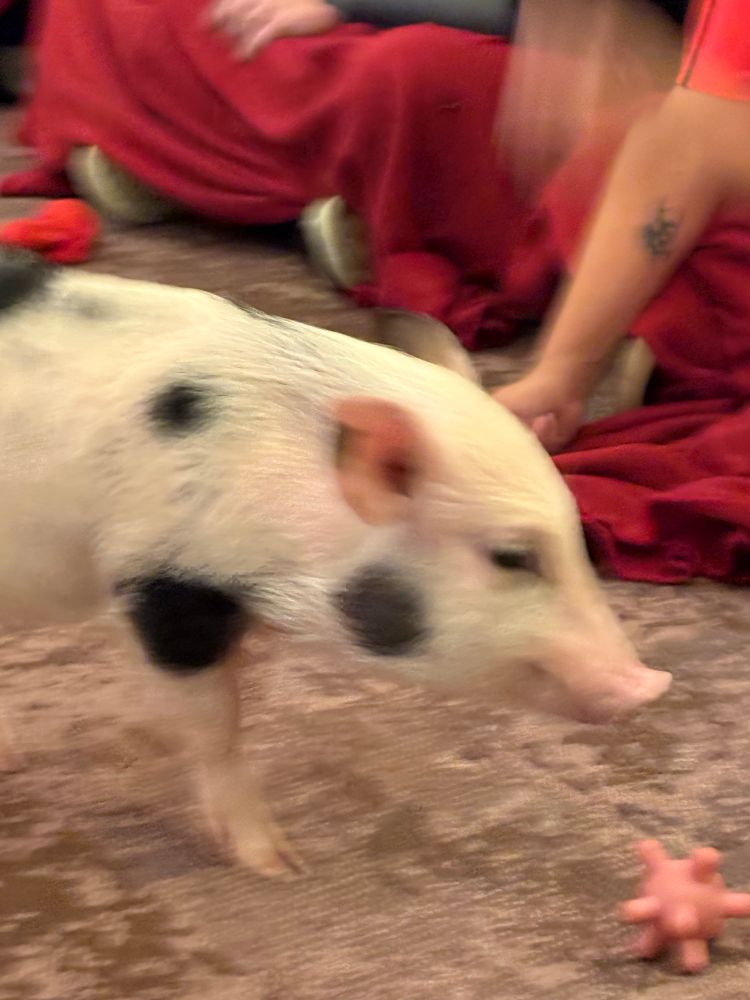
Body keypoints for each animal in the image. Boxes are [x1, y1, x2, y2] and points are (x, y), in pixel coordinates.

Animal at [0, 250, 671, 875]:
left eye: (578, 535)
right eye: (510, 556)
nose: (651, 686)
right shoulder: (166, 584)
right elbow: (218, 723)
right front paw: (280, 865)